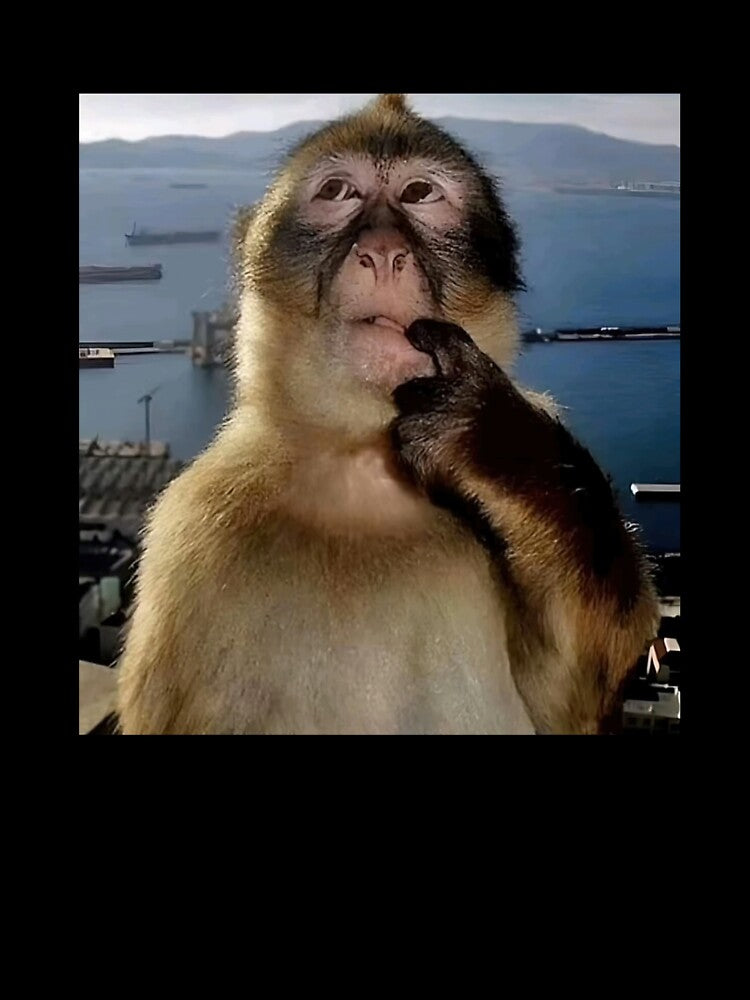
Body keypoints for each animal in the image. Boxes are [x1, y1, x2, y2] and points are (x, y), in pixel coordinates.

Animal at [116, 93, 660, 735]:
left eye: (420, 193)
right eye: (338, 192)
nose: (381, 252)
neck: (364, 467)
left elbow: (571, 704)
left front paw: (489, 440)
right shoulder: (191, 534)